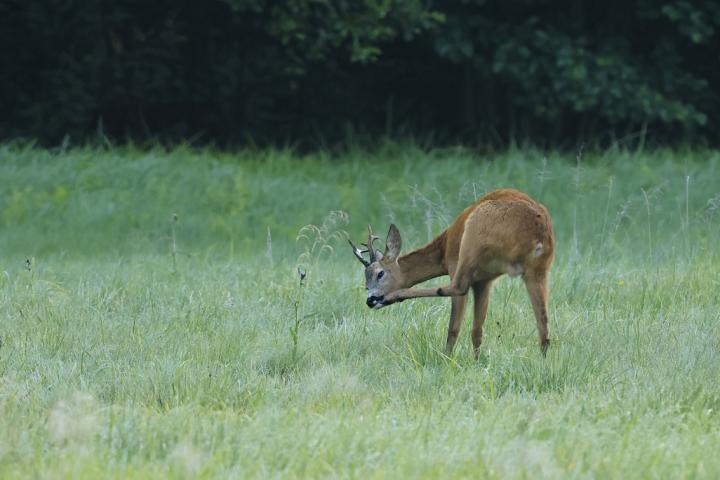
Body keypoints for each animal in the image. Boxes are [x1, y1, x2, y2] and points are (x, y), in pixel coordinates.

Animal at [352, 188, 556, 356]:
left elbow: (455, 327)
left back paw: (395, 297)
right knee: (543, 322)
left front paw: (448, 358)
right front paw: (476, 361)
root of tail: (537, 232)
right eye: (365, 283)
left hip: (472, 239)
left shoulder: (455, 266)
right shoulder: (485, 281)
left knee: (456, 288)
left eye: (380, 273)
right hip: (538, 270)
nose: (370, 300)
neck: (443, 250)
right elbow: (477, 330)